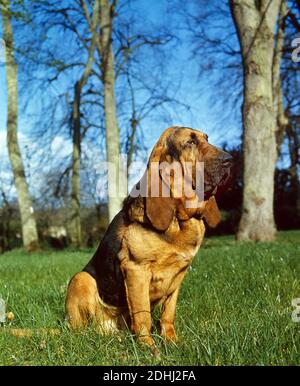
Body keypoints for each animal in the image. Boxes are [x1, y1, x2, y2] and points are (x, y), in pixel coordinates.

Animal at [65, 126, 233, 352]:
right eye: (190, 142)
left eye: (207, 138)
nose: (229, 160)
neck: (179, 219)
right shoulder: (136, 270)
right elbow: (143, 314)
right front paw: (149, 347)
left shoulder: (179, 275)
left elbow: (168, 314)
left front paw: (171, 341)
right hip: (81, 279)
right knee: (83, 331)